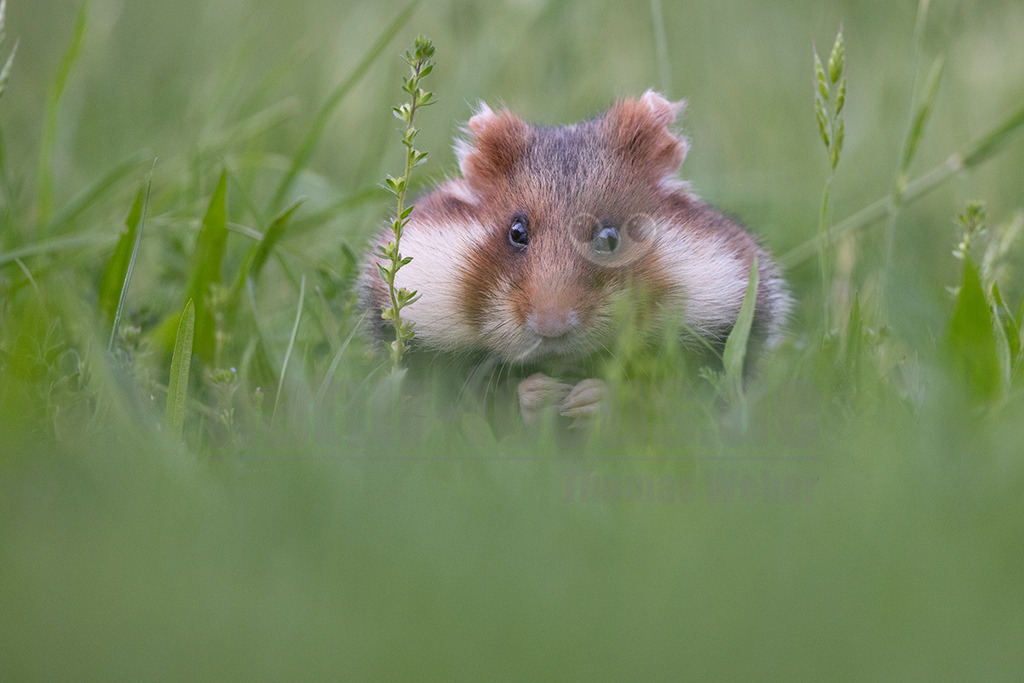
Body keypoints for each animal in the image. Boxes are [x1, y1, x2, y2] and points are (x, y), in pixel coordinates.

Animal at [359, 90, 791, 421]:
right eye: (517, 232)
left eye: (609, 237)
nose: (551, 329)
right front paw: (543, 395)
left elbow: (663, 393)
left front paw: (589, 400)